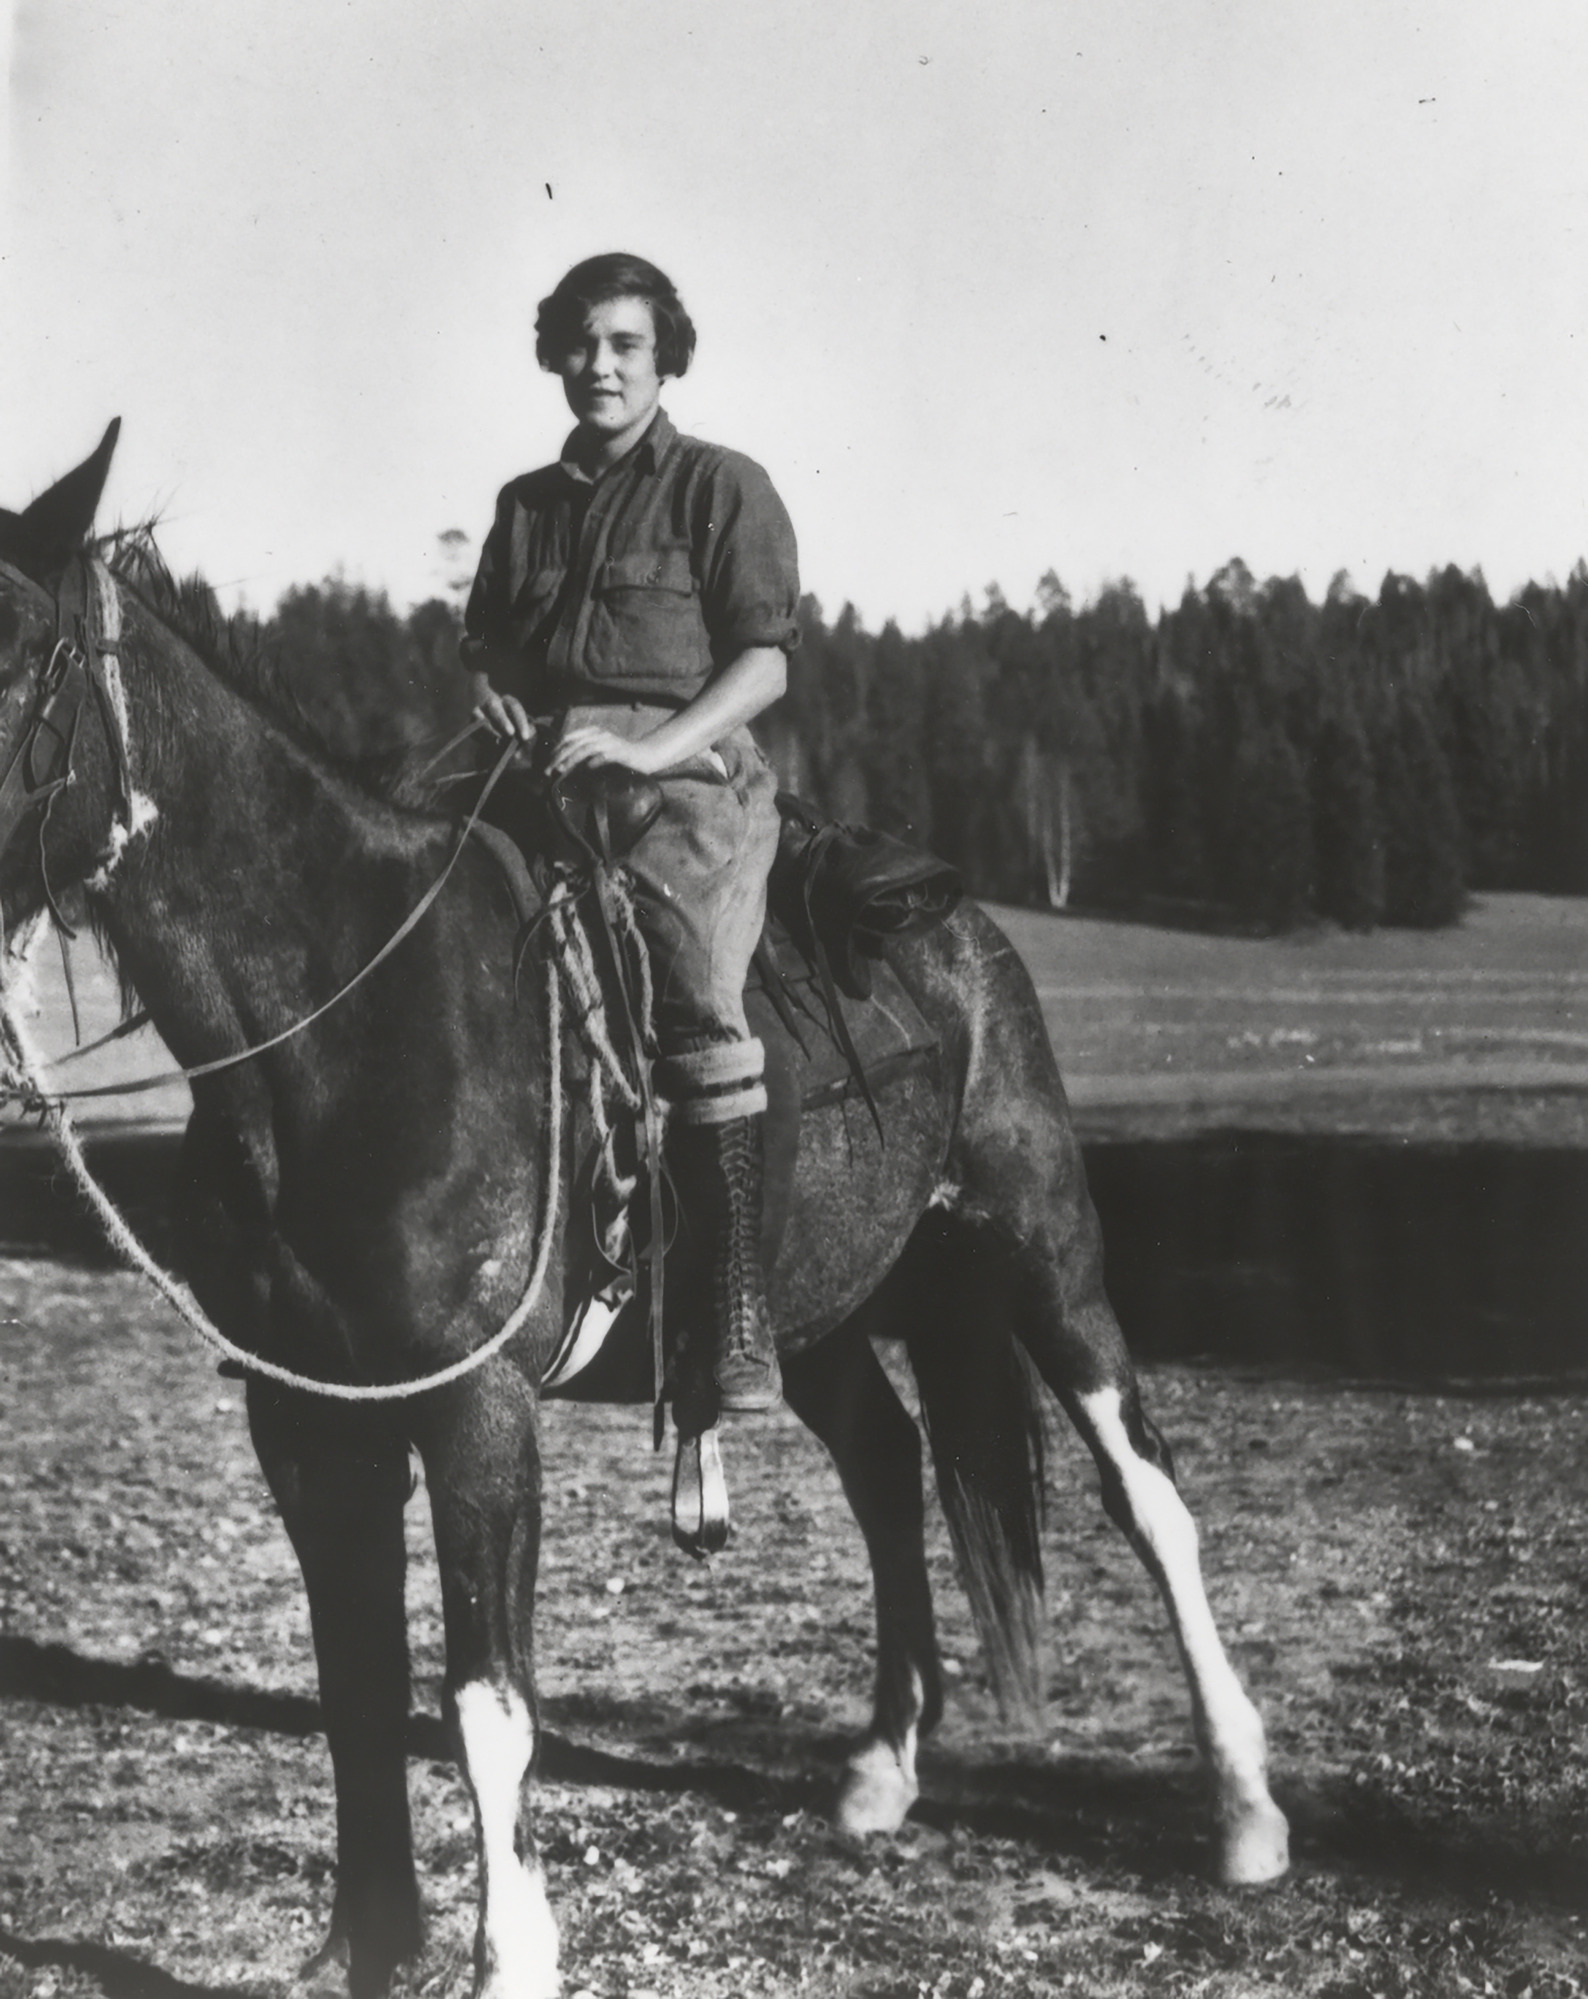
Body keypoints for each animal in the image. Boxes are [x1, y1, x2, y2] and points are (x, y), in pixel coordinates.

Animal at [0, 429, 1288, 1999]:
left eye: (20, 654)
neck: (351, 1022)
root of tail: (959, 921)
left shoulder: (476, 1406)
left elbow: (485, 1696)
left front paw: (513, 1953)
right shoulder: (304, 1416)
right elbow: (353, 1681)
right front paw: (372, 1941)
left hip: (1038, 1241)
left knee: (1146, 1490)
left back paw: (1245, 1810)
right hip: (805, 1313)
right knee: (886, 1463)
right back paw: (881, 1770)